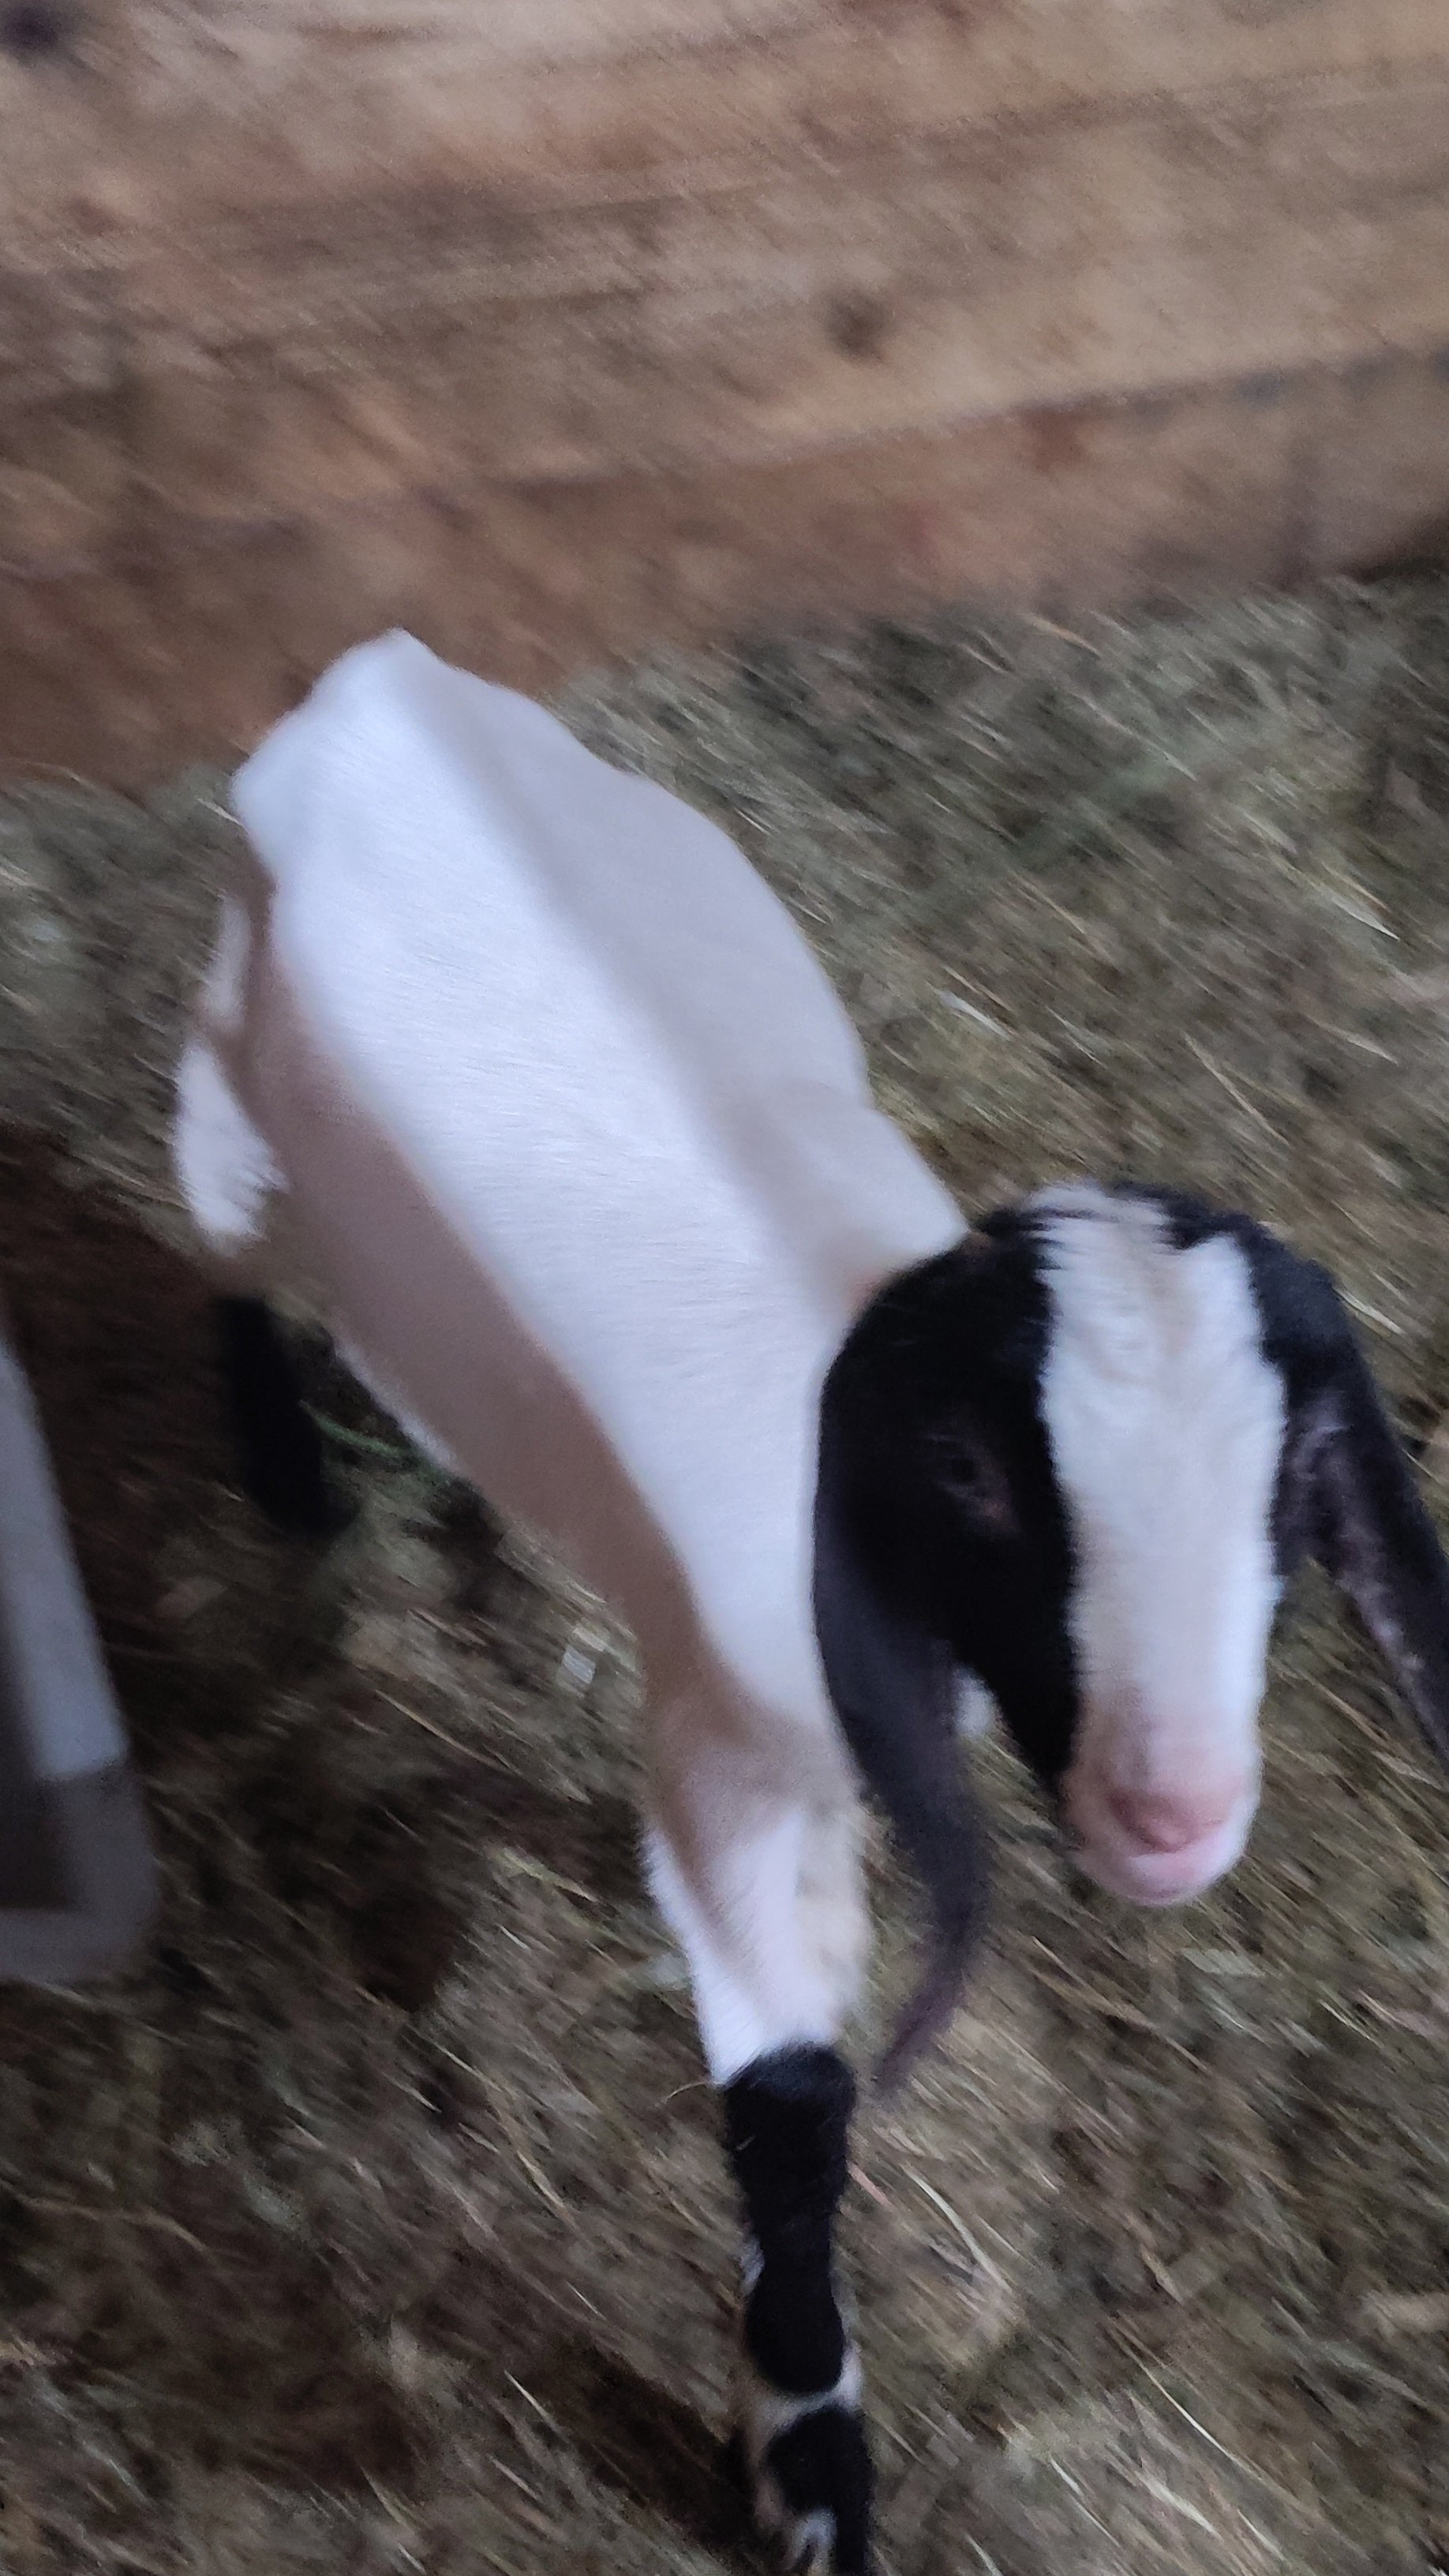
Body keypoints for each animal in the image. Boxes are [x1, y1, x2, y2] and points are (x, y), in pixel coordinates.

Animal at [172, 632, 1449, 2576]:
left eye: (1300, 1468)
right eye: (972, 1468)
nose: (1177, 1811)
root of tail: (375, 683)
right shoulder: (731, 1764)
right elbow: (792, 2111)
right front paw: (809, 2469)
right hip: (226, 1094)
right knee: (221, 1256)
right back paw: (287, 1468)